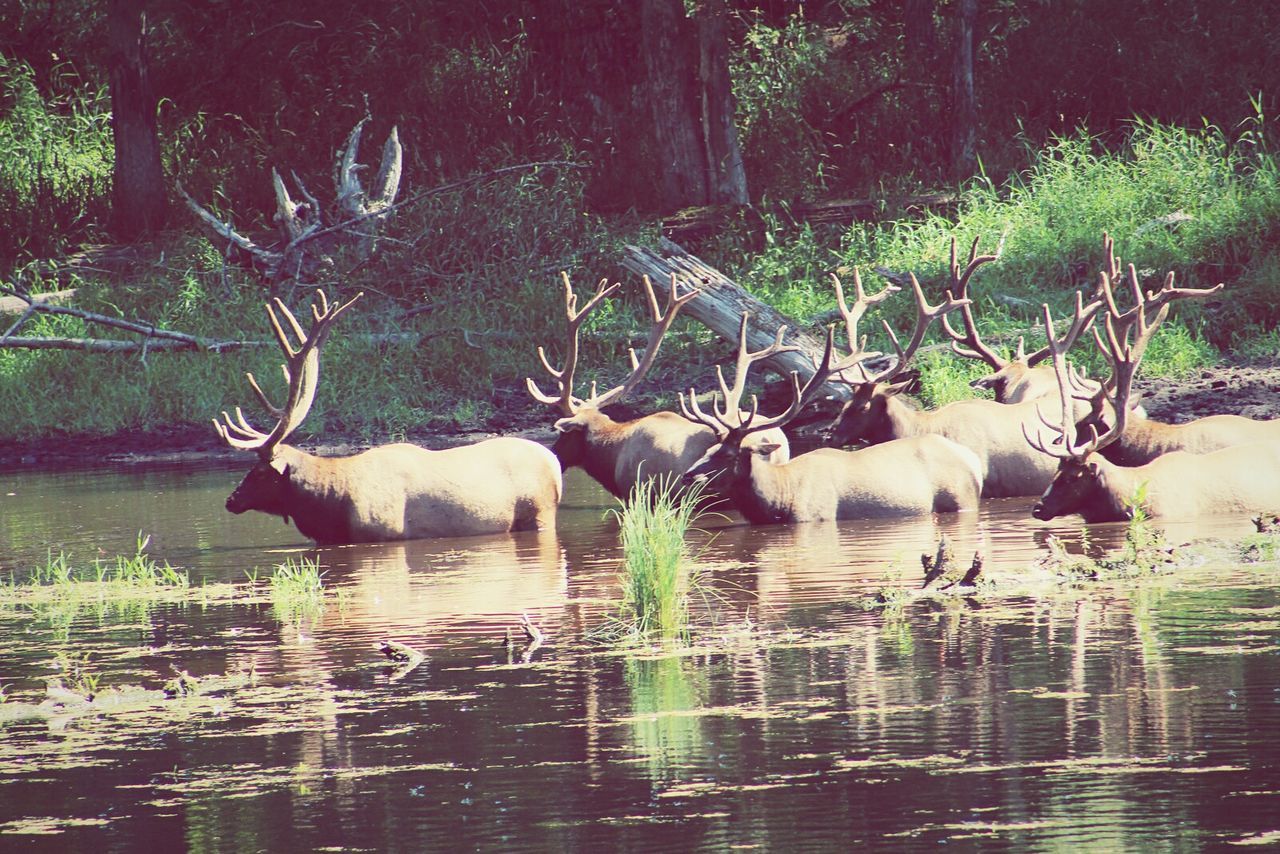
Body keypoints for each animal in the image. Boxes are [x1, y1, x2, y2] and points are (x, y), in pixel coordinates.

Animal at [215, 290, 560, 545]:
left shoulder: (380, 535)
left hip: (539, 513)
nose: (231, 500)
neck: (332, 504)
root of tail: (554, 462)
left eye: (260, 473)